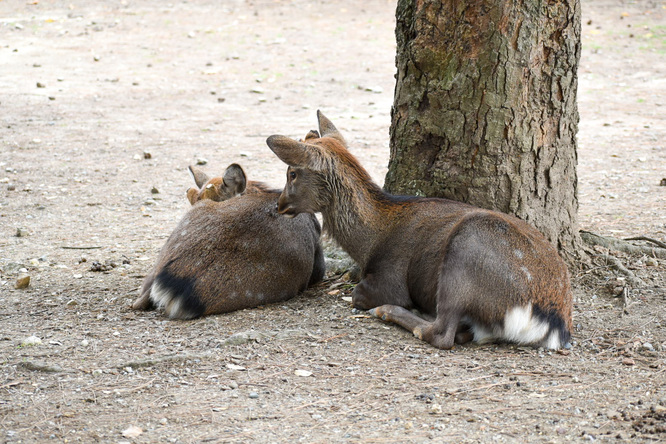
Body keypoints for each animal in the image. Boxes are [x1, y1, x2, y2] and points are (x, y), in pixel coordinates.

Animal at [264, 111, 572, 350]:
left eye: (292, 173)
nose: (279, 205)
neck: (370, 242)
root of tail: (552, 322)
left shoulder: (390, 278)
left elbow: (359, 293)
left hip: (466, 251)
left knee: (441, 333)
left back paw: (389, 312)